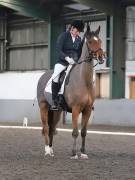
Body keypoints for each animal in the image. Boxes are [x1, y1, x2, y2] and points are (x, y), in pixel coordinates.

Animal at [36, 25, 104, 159]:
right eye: (90, 42)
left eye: (99, 41)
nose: (101, 57)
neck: (84, 80)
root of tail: (43, 76)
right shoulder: (76, 109)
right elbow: (75, 132)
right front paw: (73, 153)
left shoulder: (87, 110)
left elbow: (83, 132)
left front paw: (83, 153)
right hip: (43, 107)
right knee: (46, 128)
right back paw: (47, 151)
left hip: (56, 111)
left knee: (52, 129)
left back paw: (51, 151)